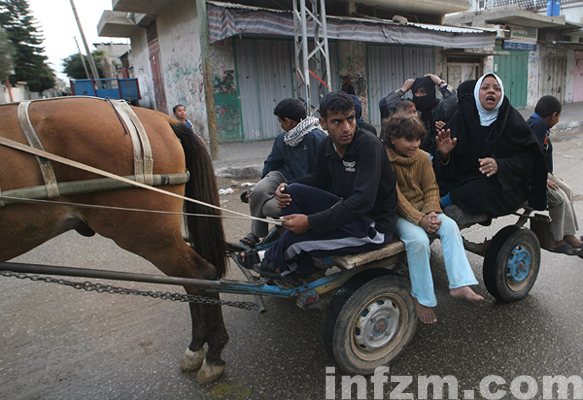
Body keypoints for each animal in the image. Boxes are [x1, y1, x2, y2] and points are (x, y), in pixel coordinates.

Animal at [1, 97, 232, 384]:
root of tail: (165, 120)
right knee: (194, 282)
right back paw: (196, 350)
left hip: (148, 235)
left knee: (201, 276)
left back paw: (213, 355)